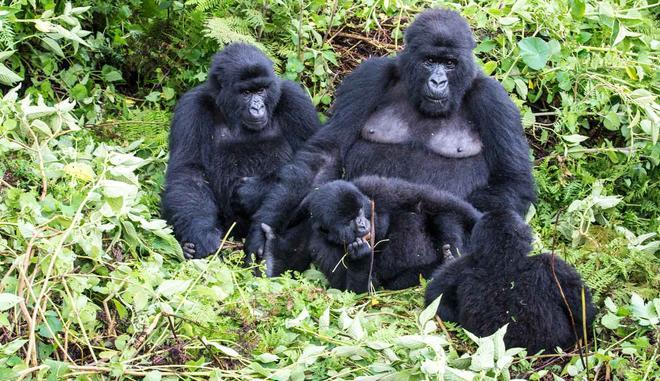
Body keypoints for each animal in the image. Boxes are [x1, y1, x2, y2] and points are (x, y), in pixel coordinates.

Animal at [164, 43, 320, 258]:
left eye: (261, 90)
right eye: (246, 93)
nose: (257, 108)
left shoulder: (296, 100)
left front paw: (251, 192)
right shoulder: (191, 107)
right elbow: (188, 171)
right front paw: (202, 234)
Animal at [266, 177, 482, 292]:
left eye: (360, 212)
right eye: (348, 222)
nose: (362, 224)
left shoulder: (374, 186)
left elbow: (426, 199)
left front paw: (478, 219)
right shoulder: (321, 244)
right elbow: (353, 289)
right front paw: (361, 257)